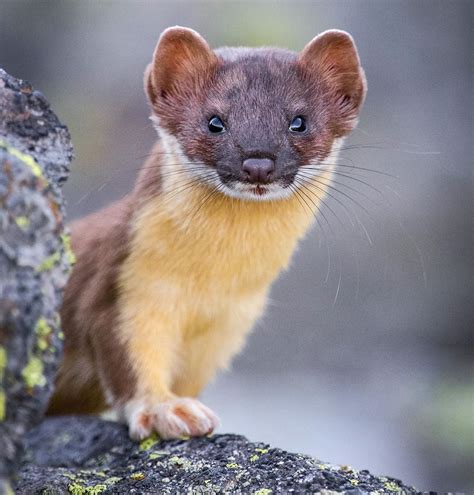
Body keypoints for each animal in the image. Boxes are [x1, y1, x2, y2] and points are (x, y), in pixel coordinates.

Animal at [47, 27, 366, 440]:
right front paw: (167, 409)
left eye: (299, 121)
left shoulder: (229, 326)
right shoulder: (122, 286)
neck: (209, 286)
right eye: (215, 121)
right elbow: (129, 356)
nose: (258, 162)